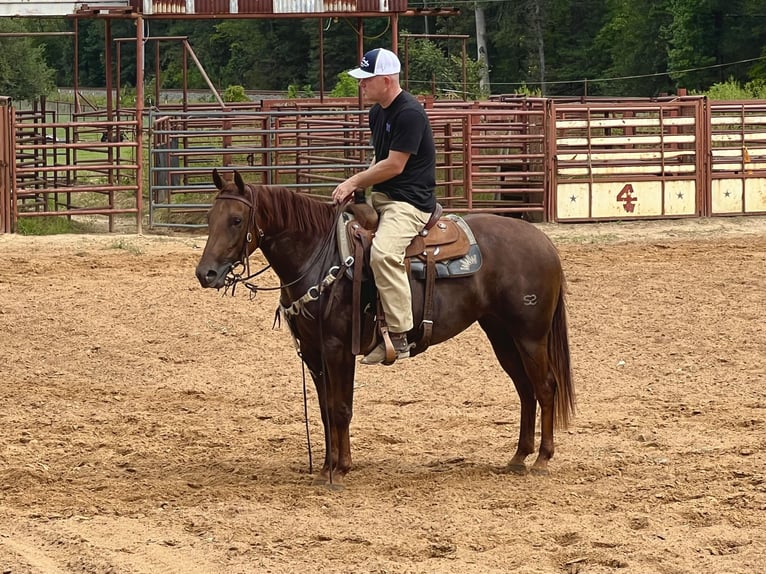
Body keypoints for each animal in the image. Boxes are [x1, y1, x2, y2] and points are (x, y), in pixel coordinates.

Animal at [195, 170, 572, 486]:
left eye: (236, 220)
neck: (320, 256)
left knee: (545, 387)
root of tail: (544, 242)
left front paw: (340, 469)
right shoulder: (313, 351)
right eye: (210, 219)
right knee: (524, 389)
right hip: (501, 334)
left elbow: (341, 407)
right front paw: (326, 466)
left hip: (530, 335)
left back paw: (542, 459)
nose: (206, 274)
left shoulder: (337, 348)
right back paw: (519, 457)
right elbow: (325, 410)